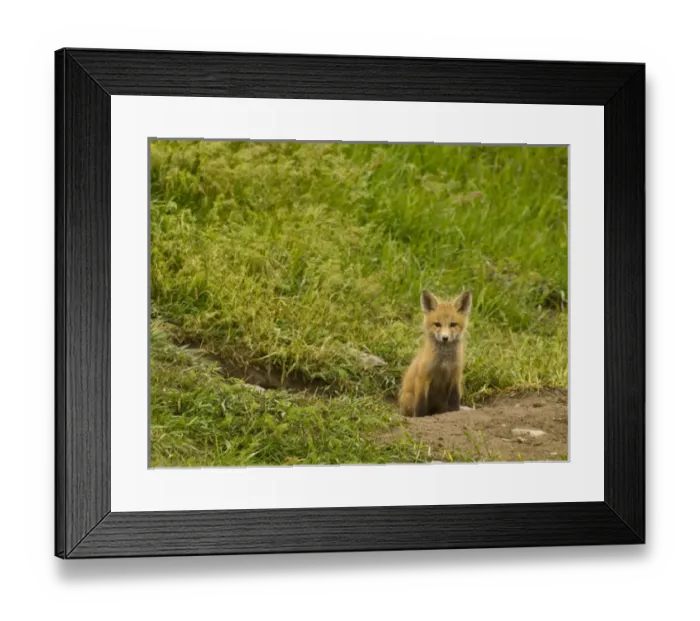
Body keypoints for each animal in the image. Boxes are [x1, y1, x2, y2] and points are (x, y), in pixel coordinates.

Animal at [399, 289, 473, 418]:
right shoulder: (423, 376)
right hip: (408, 398)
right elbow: (421, 404)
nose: (445, 338)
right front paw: (420, 417)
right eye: (437, 324)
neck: (443, 361)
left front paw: (455, 412)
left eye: (453, 324)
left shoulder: (456, 375)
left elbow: (454, 400)